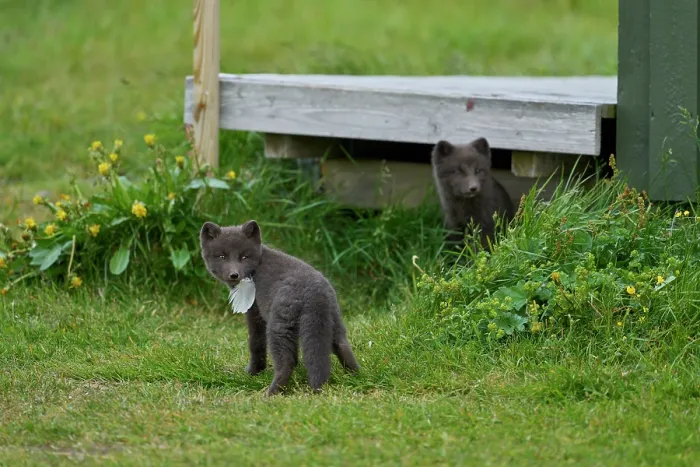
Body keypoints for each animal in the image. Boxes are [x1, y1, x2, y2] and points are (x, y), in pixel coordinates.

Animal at [199, 220, 359, 396]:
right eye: (222, 256)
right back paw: (356, 377)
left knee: (286, 363)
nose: (234, 275)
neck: (258, 265)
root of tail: (314, 293)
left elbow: (256, 343)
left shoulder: (254, 311)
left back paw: (272, 393)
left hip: (278, 328)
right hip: (333, 323)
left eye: (244, 257)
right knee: (343, 347)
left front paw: (253, 372)